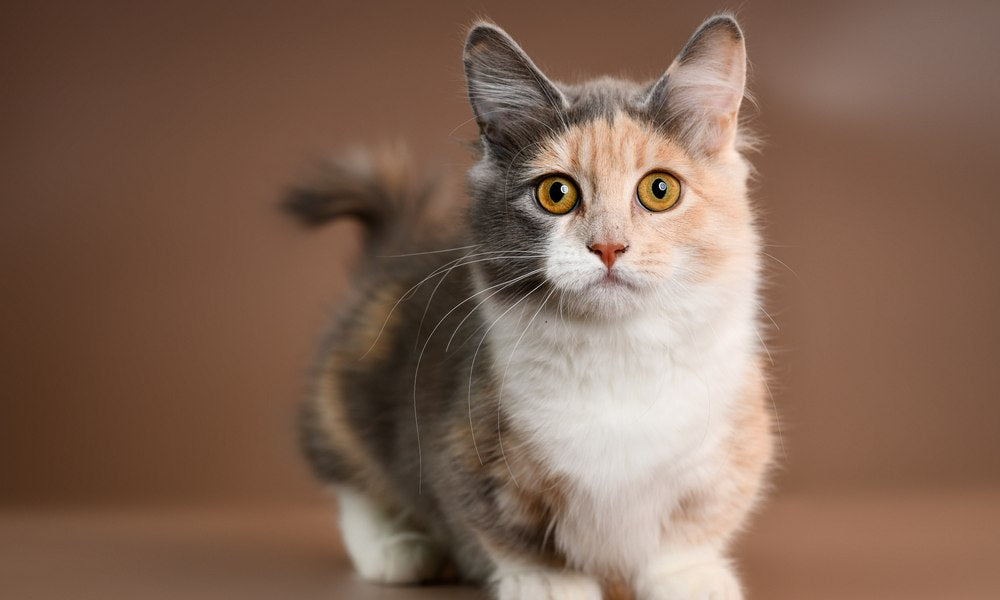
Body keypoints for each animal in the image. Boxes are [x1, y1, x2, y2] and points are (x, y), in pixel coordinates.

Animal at [286, 10, 776, 600]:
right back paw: (397, 549)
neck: (616, 353)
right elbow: (507, 529)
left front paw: (689, 577)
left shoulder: (733, 443)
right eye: (556, 194)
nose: (608, 246)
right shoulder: (465, 447)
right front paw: (548, 581)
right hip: (348, 387)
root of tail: (397, 249)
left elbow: (694, 524)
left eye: (660, 190)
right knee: (353, 482)